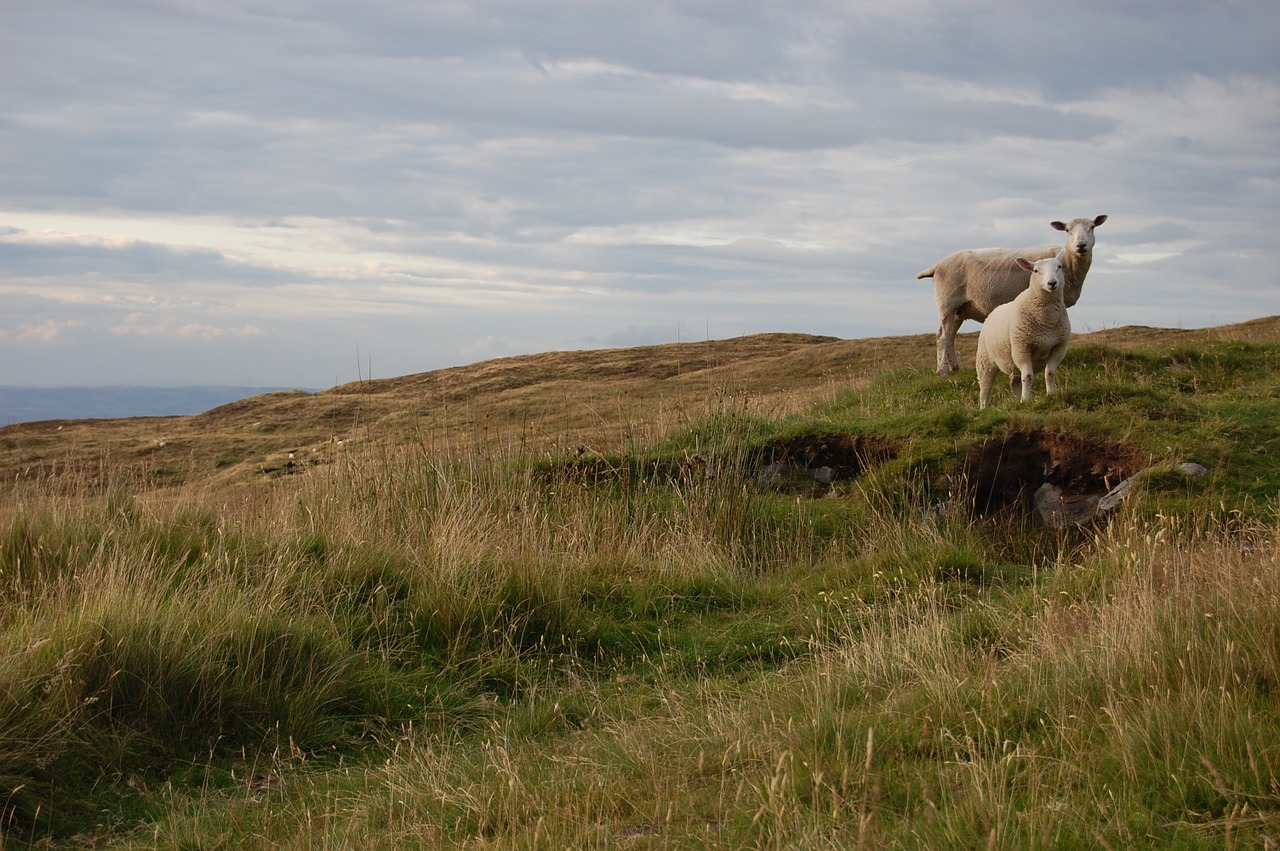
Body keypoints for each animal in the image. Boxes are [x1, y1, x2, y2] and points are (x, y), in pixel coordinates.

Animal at [916, 213, 1105, 373]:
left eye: (1092, 227)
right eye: (1067, 230)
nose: (1081, 245)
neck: (1069, 263)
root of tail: (938, 265)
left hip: (959, 309)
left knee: (950, 336)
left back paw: (954, 368)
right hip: (947, 301)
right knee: (942, 336)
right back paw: (942, 371)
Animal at [977, 250, 1070, 409]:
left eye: (1059, 266)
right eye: (1036, 271)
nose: (1052, 283)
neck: (1047, 320)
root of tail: (994, 311)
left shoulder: (1059, 347)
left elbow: (1050, 373)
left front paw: (1050, 394)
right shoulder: (1022, 348)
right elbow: (1027, 376)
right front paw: (1026, 399)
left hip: (1012, 362)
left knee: (1014, 381)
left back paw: (1017, 400)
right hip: (985, 360)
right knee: (986, 386)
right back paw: (984, 408)